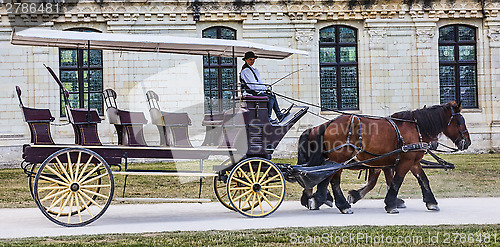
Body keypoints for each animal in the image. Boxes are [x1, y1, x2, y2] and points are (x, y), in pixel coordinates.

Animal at [298, 102, 470, 214]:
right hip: (340, 158)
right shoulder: (404, 161)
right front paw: (391, 204)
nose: (467, 142)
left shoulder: (412, 162)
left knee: (330, 179)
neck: (416, 128)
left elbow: (423, 180)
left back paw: (326, 200)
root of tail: (329, 123)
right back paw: (334, 202)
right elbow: (396, 181)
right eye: (460, 121)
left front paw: (431, 202)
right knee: (333, 180)